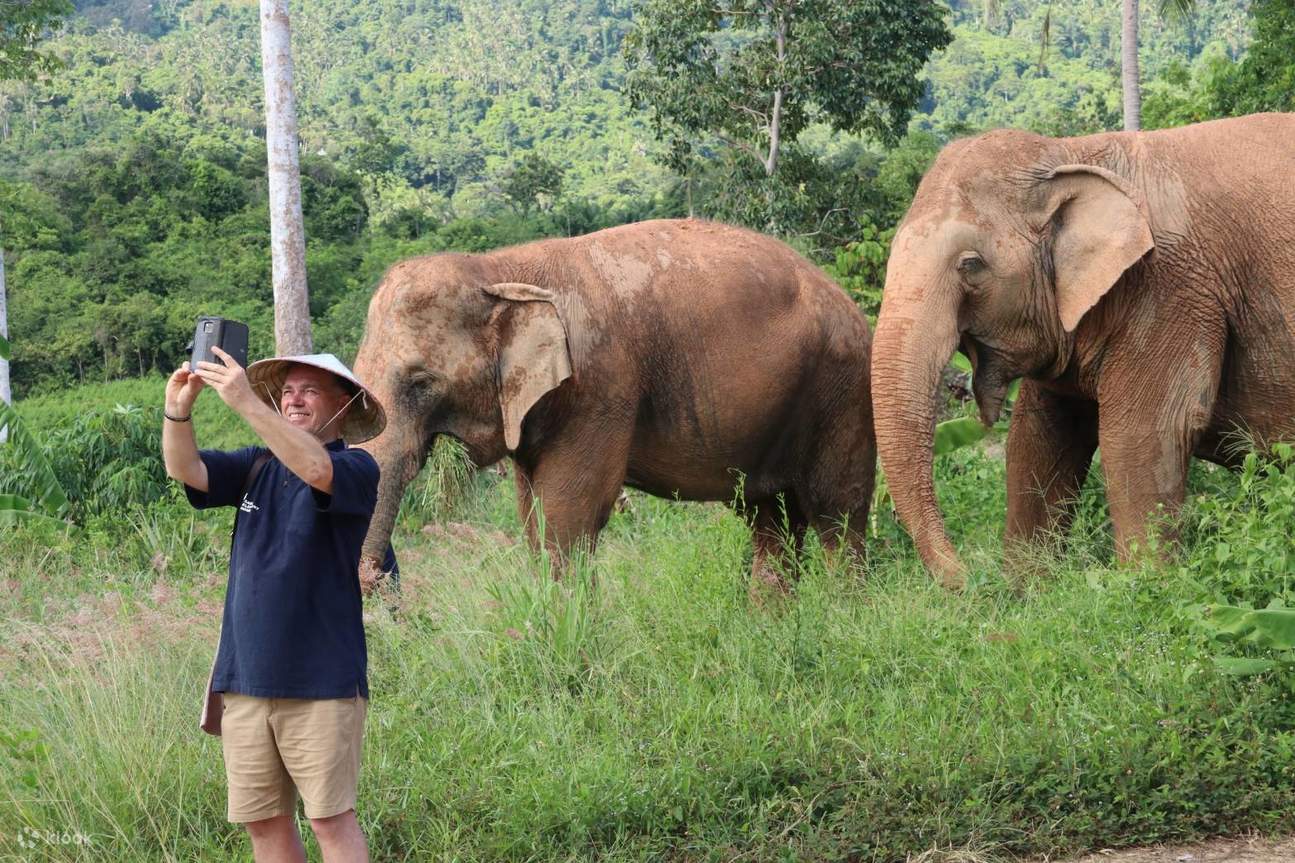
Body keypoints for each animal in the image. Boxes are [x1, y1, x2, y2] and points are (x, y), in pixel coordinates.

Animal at [352, 218, 876, 589]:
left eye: (420, 383)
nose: (377, 578)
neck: (501, 270)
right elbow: (532, 517)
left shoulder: (600, 387)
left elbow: (569, 514)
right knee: (772, 521)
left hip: (842, 391)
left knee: (838, 515)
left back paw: (838, 618)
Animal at [871, 113, 1295, 588]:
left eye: (970, 264)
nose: (970, 579)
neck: (1069, 152)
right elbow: (1038, 437)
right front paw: (1026, 590)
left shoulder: (1172, 290)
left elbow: (1144, 433)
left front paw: (1144, 585)